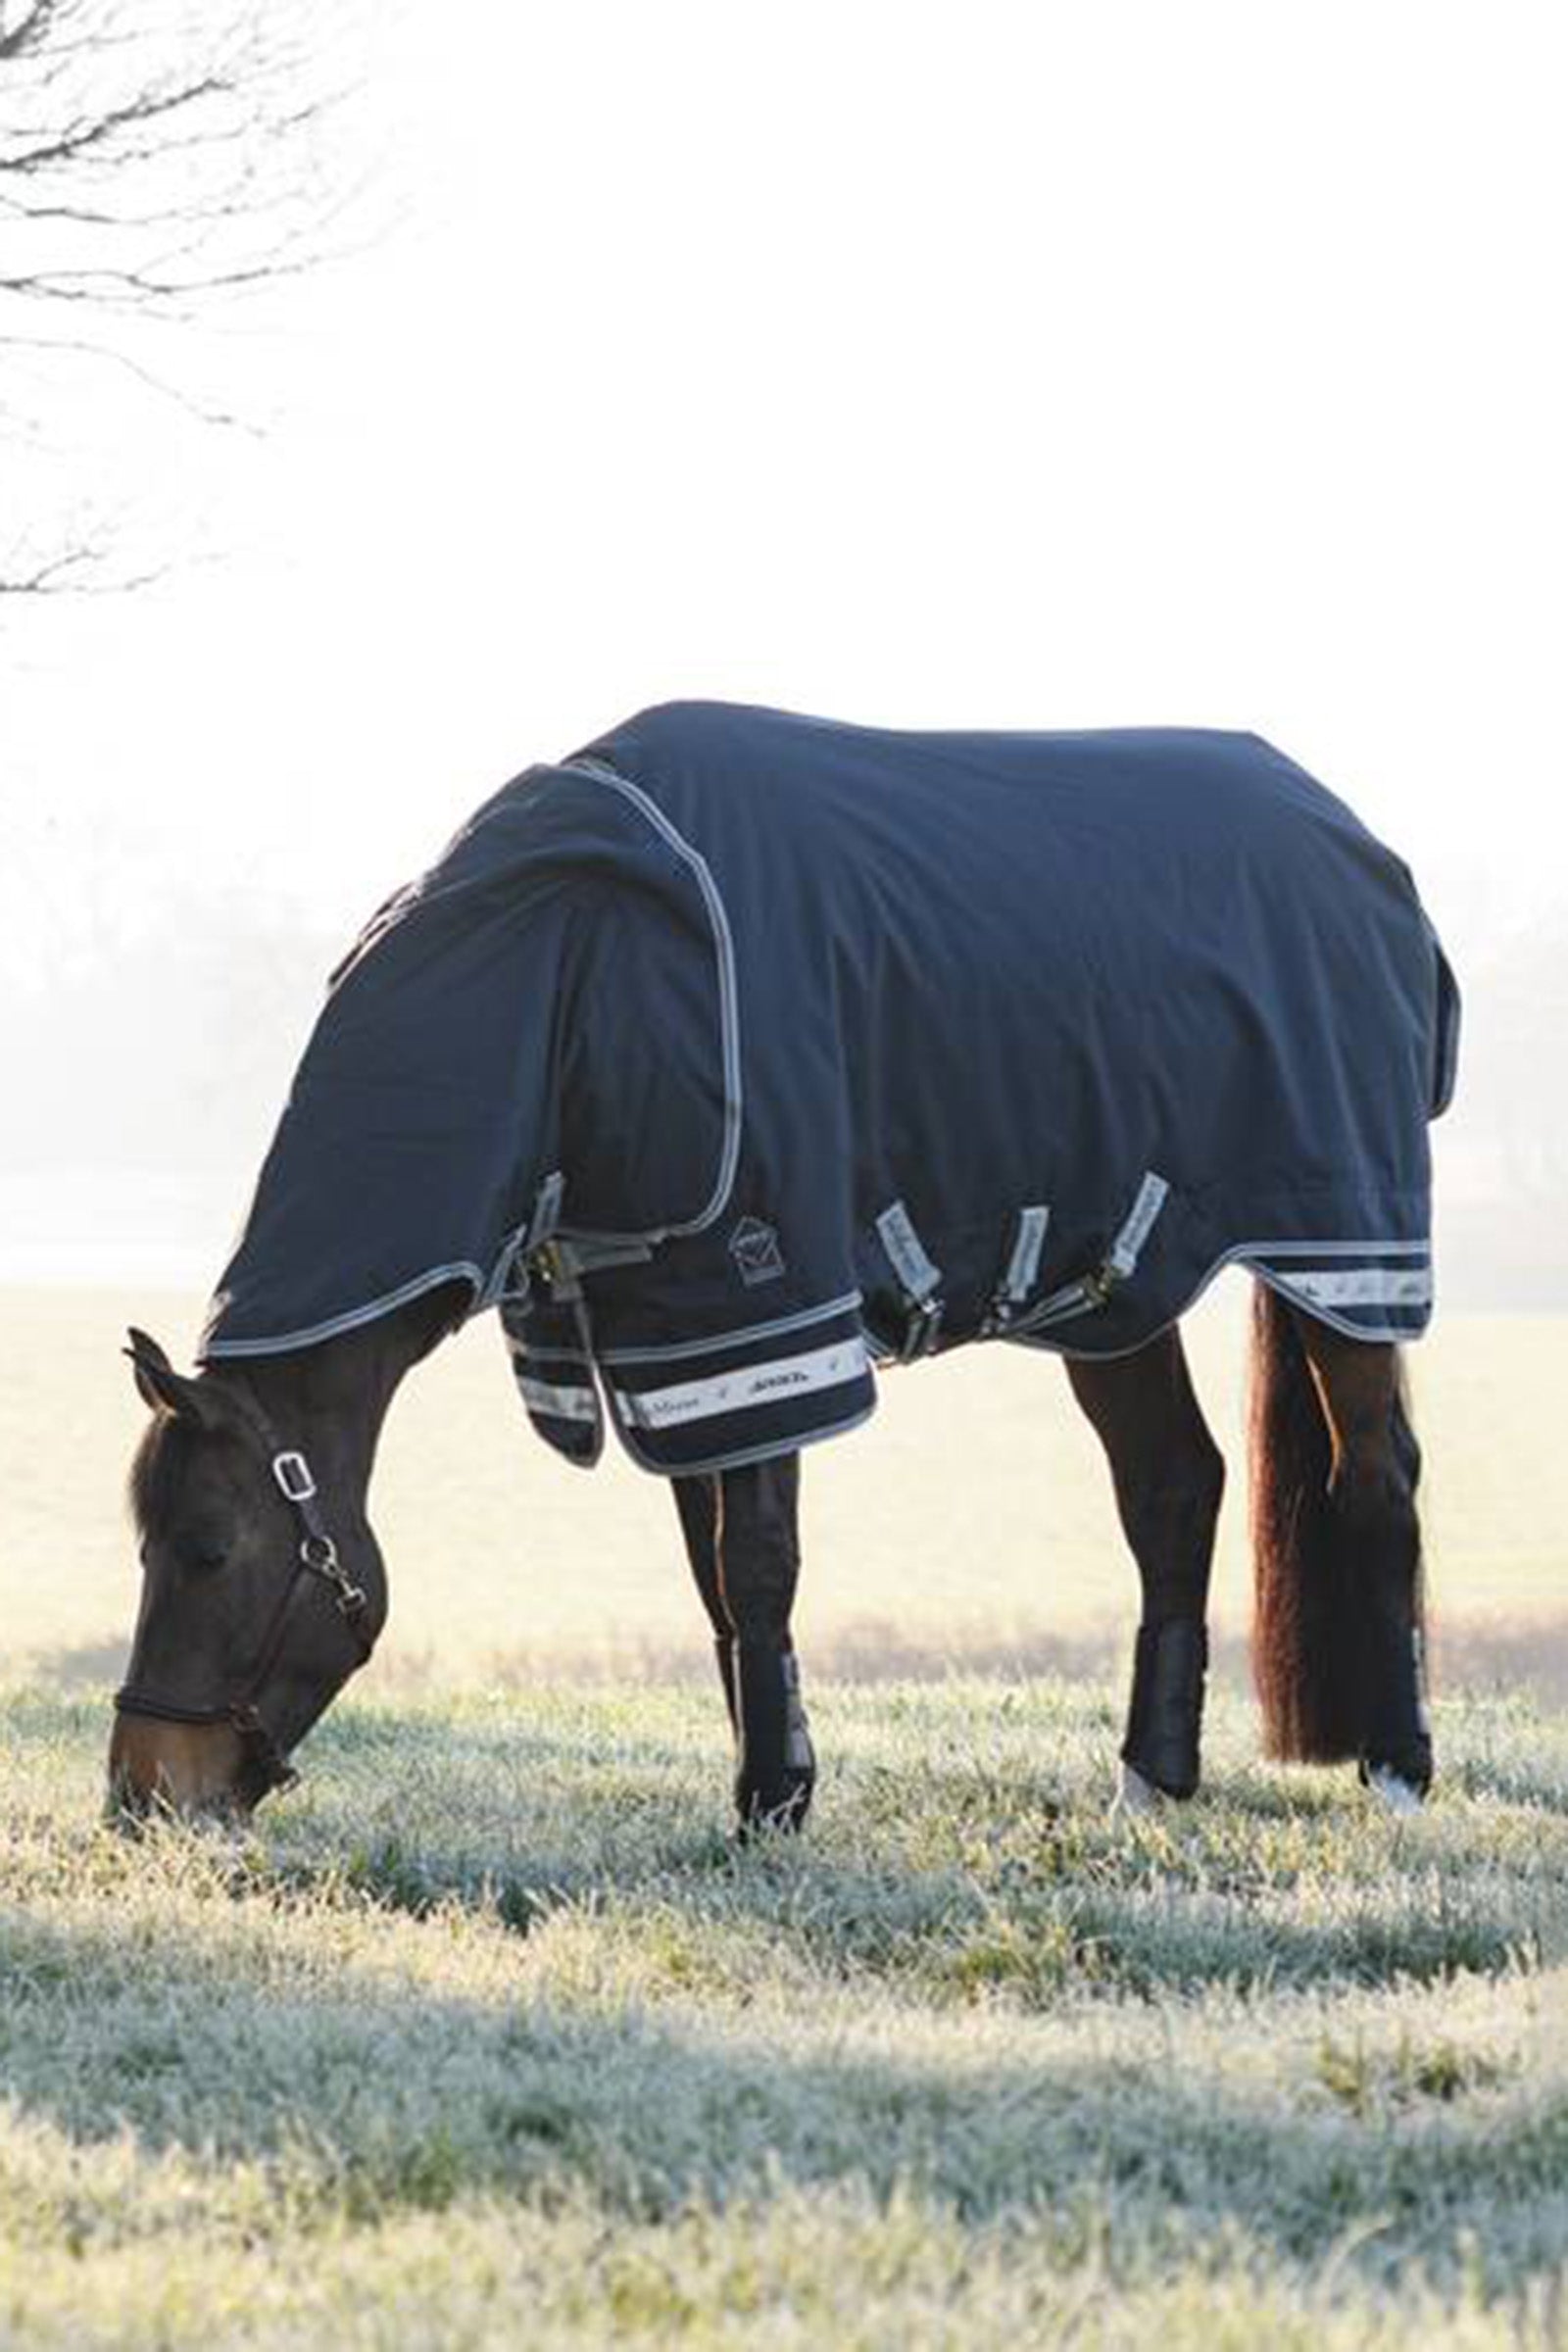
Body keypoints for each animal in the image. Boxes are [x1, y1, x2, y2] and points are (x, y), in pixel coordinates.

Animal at [111, 703, 1459, 1828]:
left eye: (210, 1549)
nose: (145, 1795)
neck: (572, 970)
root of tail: (1357, 842)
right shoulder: (662, 1332)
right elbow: (712, 1579)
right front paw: (774, 1779)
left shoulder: (762, 1298)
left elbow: (756, 1562)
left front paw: (771, 1803)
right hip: (1117, 1284)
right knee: (1172, 1489)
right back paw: (1151, 1778)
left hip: (1342, 1250)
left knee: (1375, 1475)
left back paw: (1397, 1769)